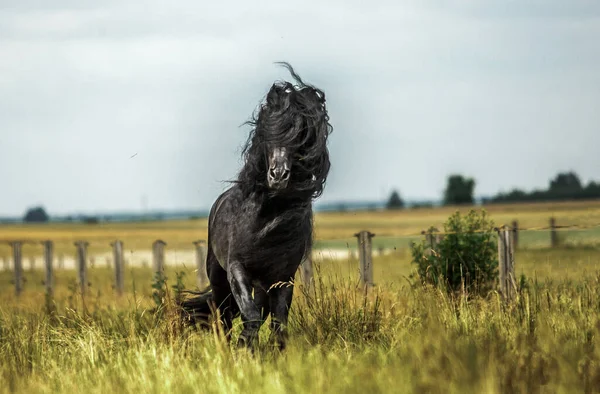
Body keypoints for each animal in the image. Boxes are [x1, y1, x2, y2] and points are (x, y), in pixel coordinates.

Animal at [180, 62, 336, 350]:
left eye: (300, 135)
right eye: (268, 131)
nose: (278, 176)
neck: (265, 221)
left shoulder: (282, 278)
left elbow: (277, 323)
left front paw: (266, 351)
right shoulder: (236, 269)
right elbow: (249, 314)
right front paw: (243, 346)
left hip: (263, 284)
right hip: (218, 276)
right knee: (224, 314)